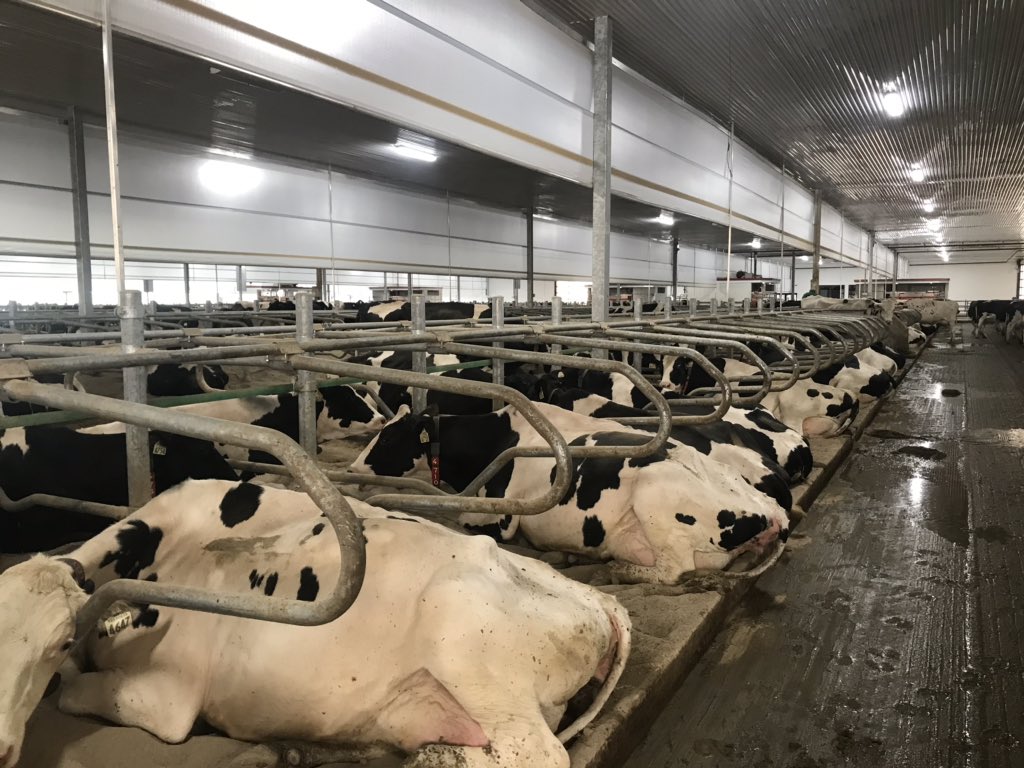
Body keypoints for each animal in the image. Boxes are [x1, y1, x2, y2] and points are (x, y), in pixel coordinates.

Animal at [0, 479, 630, 768]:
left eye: (56, 643)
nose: (3, 748)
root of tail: (599, 599)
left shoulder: (165, 698)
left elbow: (74, 692)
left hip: (469, 650)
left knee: (533, 754)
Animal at [350, 402, 790, 584]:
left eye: (387, 439)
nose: (351, 469)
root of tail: (774, 512)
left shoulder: (494, 517)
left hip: (658, 498)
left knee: (673, 569)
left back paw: (610, 569)